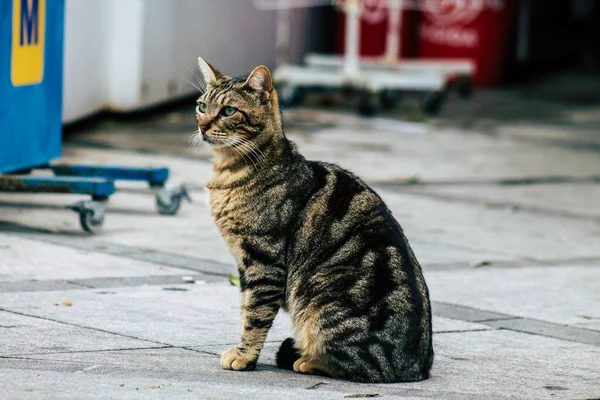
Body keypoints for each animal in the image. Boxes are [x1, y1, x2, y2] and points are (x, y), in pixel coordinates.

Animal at [196, 57, 432, 382]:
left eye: (229, 111)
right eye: (201, 106)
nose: (202, 125)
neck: (230, 170)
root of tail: (419, 366)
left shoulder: (263, 262)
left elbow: (255, 314)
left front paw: (244, 356)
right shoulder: (246, 266)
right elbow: (246, 307)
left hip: (320, 299)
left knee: (359, 365)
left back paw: (307, 360)